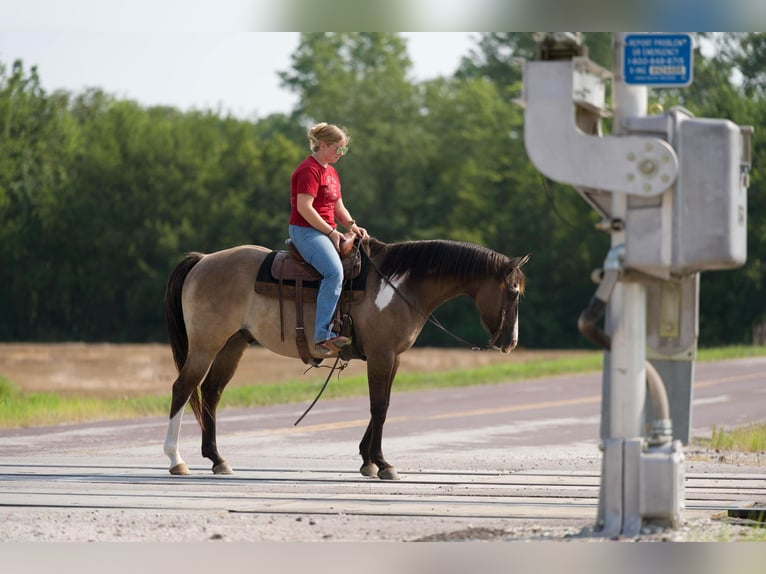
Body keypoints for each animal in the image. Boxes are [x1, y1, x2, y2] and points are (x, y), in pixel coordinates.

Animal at [162, 237, 529, 480]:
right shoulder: (382, 355)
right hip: (206, 344)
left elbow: (383, 405)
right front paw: (382, 463)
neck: (398, 286)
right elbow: (379, 407)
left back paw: (217, 459)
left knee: (211, 393)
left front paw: (367, 460)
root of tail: (204, 260)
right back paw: (176, 459)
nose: (510, 343)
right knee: (183, 388)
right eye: (513, 291)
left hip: (232, 344)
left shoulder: (392, 357)